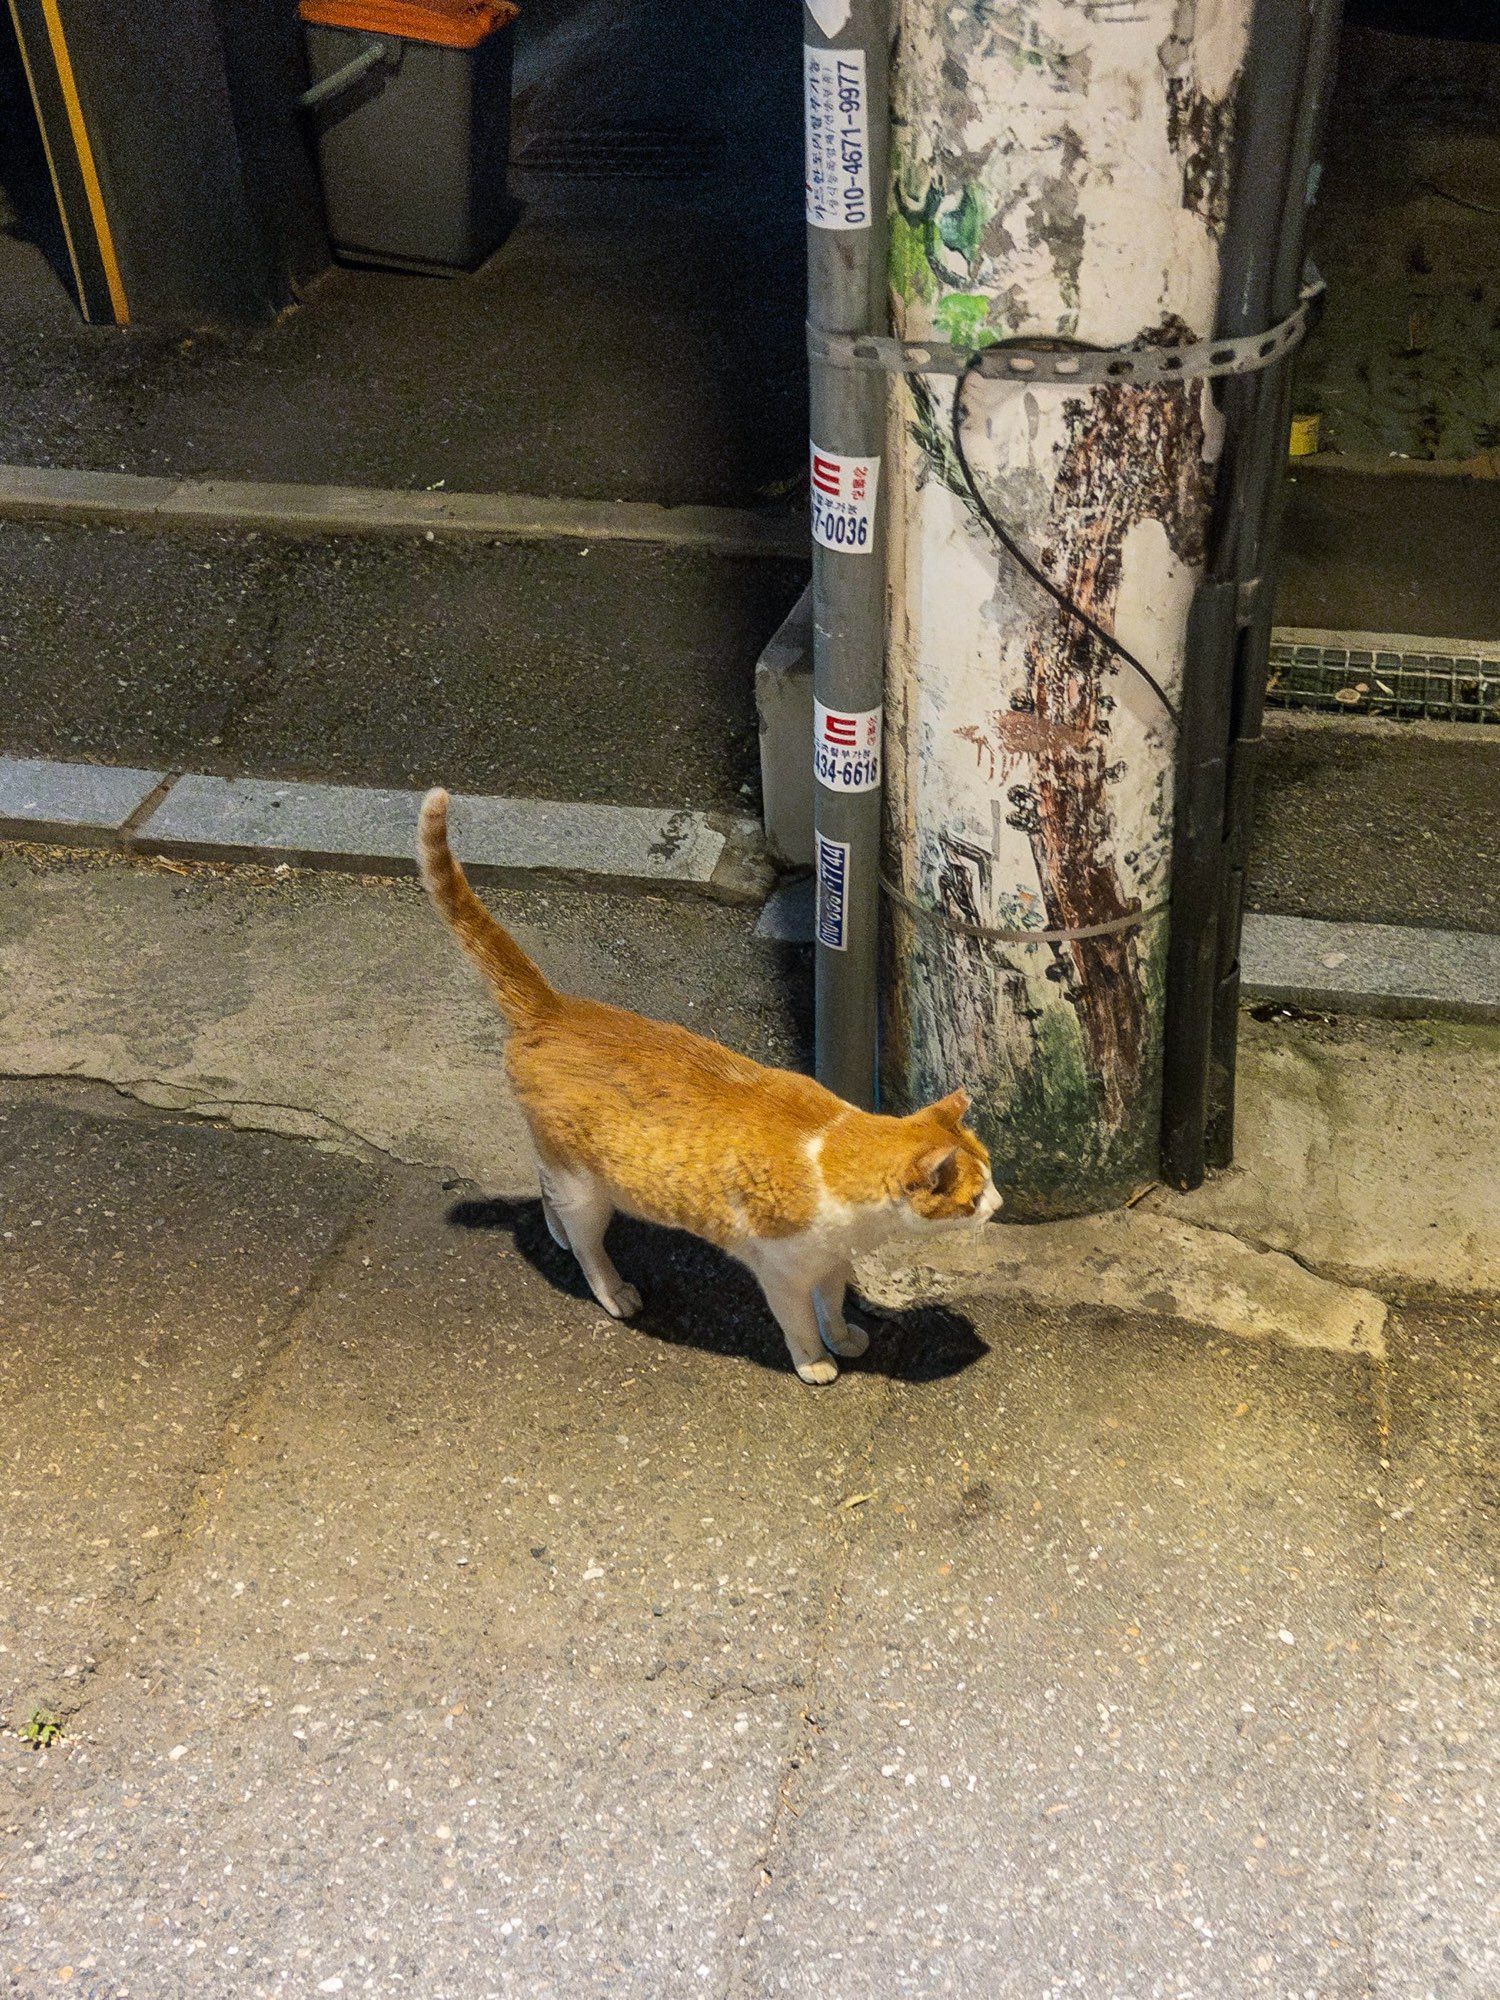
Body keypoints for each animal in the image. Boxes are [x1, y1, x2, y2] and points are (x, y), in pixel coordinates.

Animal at [418, 788, 1004, 1384]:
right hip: (588, 1192)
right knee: (586, 1246)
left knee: (544, 1183)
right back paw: (611, 1288)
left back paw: (554, 1228)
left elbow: (833, 1304)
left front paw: (842, 1337)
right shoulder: (782, 1273)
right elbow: (799, 1322)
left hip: (565, 1168)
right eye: (975, 1195)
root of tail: (554, 1008)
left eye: (992, 1176)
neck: (835, 1161)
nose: (1001, 1204)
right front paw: (815, 1361)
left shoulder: (831, 1262)